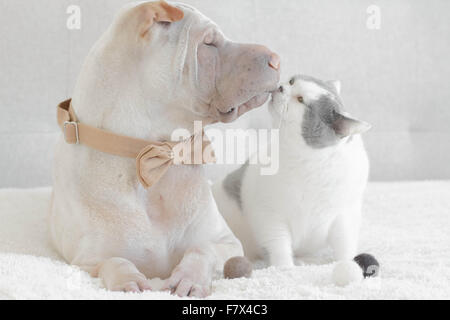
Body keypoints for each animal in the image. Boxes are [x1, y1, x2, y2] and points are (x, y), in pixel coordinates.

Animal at [50, 0, 282, 298]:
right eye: (208, 43)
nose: (277, 58)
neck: (153, 155)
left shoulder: (228, 242)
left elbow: (203, 248)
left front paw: (190, 277)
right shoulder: (84, 261)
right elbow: (114, 261)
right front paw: (128, 279)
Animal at [213, 75, 378, 284]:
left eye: (300, 100)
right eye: (292, 81)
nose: (280, 87)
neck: (309, 163)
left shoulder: (345, 215)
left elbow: (345, 244)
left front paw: (349, 264)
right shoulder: (270, 216)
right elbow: (279, 245)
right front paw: (284, 269)